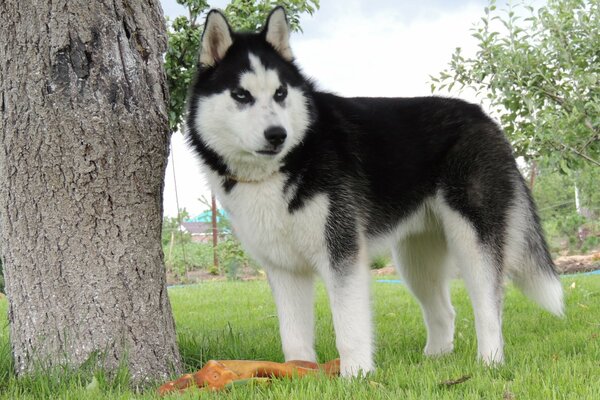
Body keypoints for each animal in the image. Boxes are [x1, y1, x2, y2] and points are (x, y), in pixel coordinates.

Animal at [185, 5, 564, 376]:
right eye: (241, 95)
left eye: (280, 93)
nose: (277, 134)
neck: (287, 164)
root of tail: (484, 117)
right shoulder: (283, 267)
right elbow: (293, 336)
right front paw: (297, 371)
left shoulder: (341, 253)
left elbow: (350, 327)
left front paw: (356, 376)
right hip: (414, 258)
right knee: (444, 310)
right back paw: (434, 361)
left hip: (472, 240)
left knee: (489, 307)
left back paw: (489, 362)